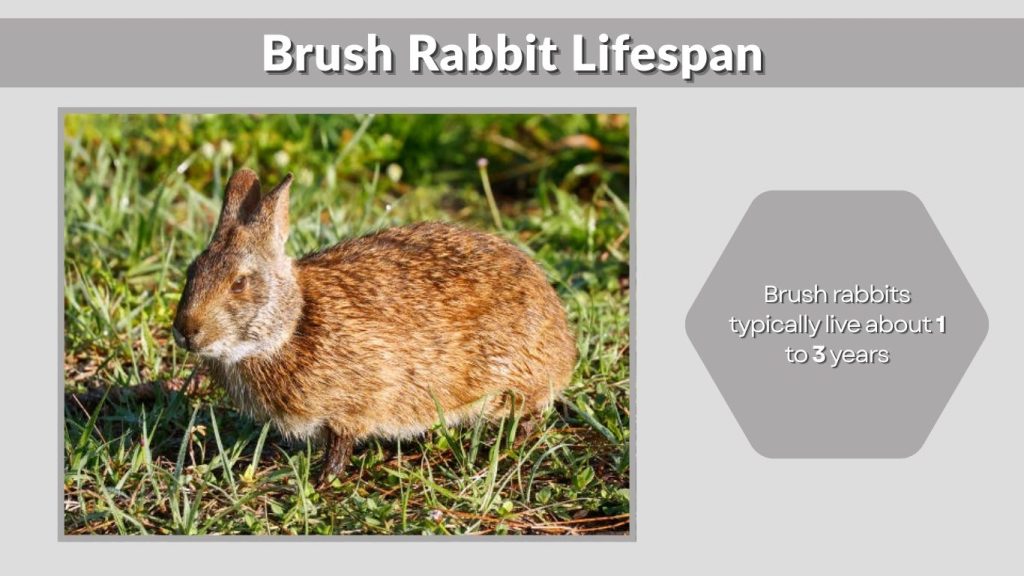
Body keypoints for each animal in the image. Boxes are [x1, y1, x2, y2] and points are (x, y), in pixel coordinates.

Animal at [172, 168, 577, 485]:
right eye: (192, 271)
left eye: (240, 283)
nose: (186, 331)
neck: (292, 325)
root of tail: (563, 344)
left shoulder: (353, 406)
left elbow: (340, 447)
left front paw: (323, 481)